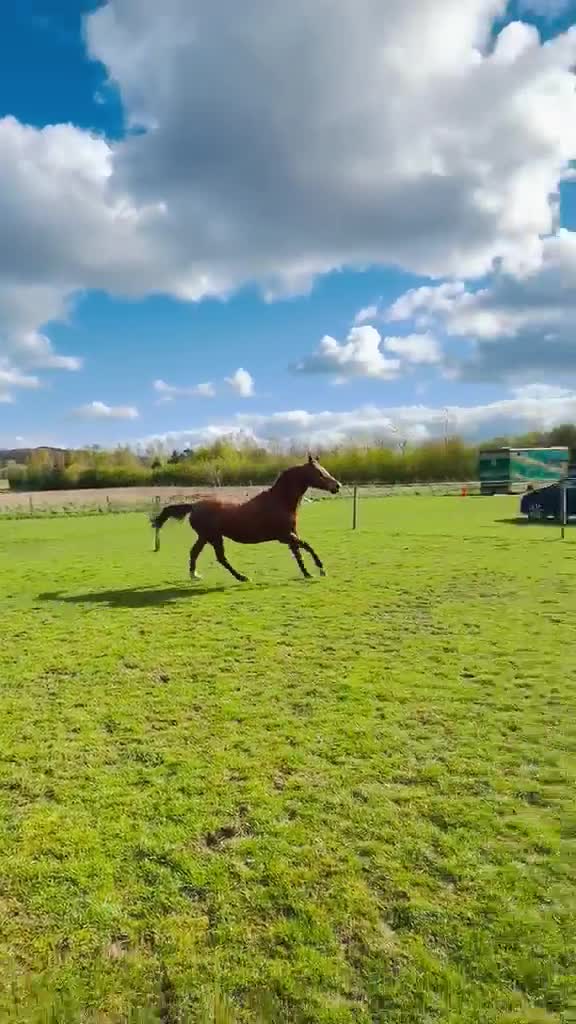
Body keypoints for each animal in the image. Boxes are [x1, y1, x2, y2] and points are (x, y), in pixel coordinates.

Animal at [151, 455, 340, 582]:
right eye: (319, 473)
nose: (337, 486)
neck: (279, 501)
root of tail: (194, 506)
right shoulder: (285, 536)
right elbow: (307, 546)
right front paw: (321, 569)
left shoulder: (291, 535)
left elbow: (299, 553)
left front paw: (308, 573)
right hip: (214, 537)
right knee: (221, 558)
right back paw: (242, 577)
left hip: (205, 537)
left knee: (194, 552)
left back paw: (195, 575)